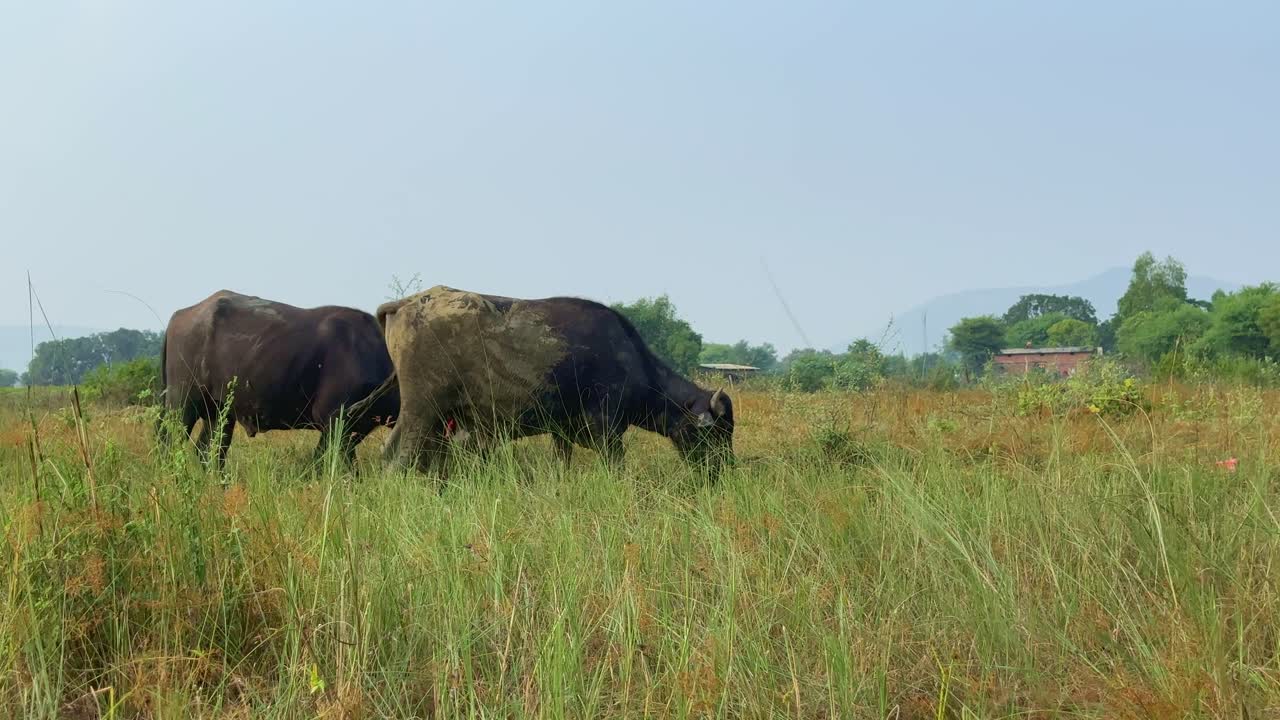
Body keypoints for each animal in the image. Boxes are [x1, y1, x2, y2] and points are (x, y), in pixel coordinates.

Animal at [159, 290, 399, 466]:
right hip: (182, 404)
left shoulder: (352, 428)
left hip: (220, 412)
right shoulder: (334, 420)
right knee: (170, 444)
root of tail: (179, 316)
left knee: (209, 451)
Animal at [349, 286, 734, 479]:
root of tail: (410, 302)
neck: (630, 360)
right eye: (716, 433)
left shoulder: (561, 432)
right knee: (398, 458)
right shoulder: (607, 429)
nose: (724, 470)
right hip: (421, 410)